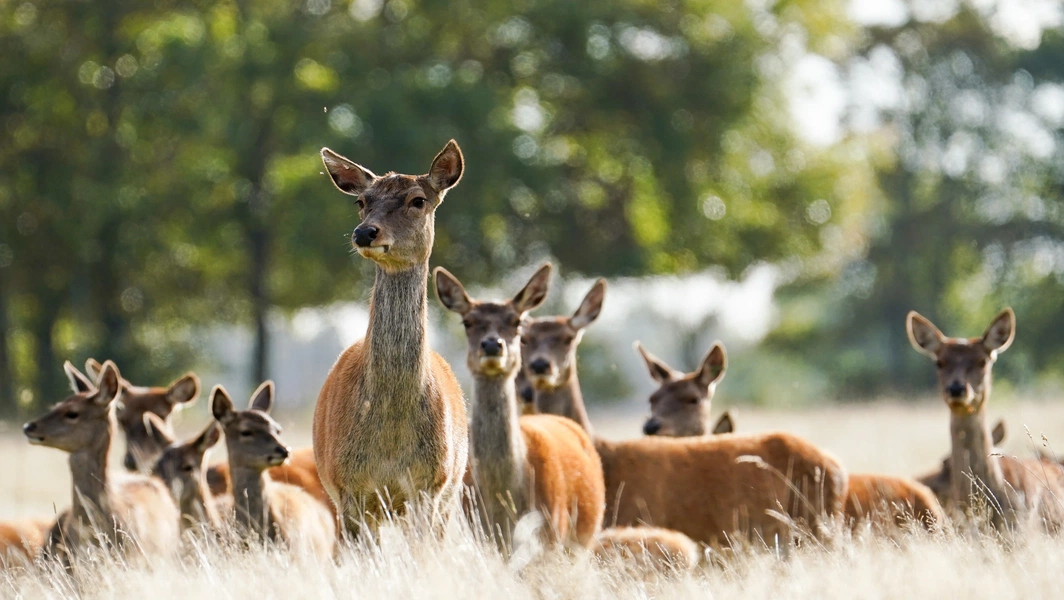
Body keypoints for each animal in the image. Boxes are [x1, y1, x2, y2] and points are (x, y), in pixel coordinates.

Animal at [314, 140, 469, 538]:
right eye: (361, 201)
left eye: (418, 200)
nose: (364, 232)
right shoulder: (347, 486)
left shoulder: (430, 483)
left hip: (450, 495)